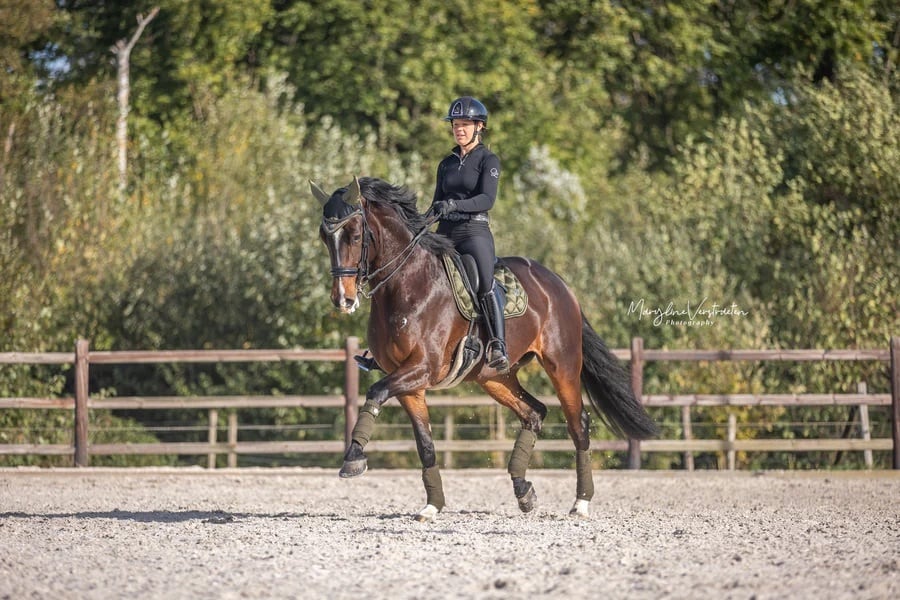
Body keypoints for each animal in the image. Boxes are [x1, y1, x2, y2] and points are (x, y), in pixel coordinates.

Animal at [312, 175, 656, 520]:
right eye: (324, 238)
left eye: (355, 235)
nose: (342, 300)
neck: (408, 285)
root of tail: (558, 284)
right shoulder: (410, 382)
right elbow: (425, 444)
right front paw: (432, 505)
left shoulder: (421, 368)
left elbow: (376, 391)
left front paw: (353, 458)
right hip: (494, 377)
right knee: (534, 413)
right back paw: (523, 490)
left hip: (563, 366)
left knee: (578, 424)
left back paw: (581, 502)